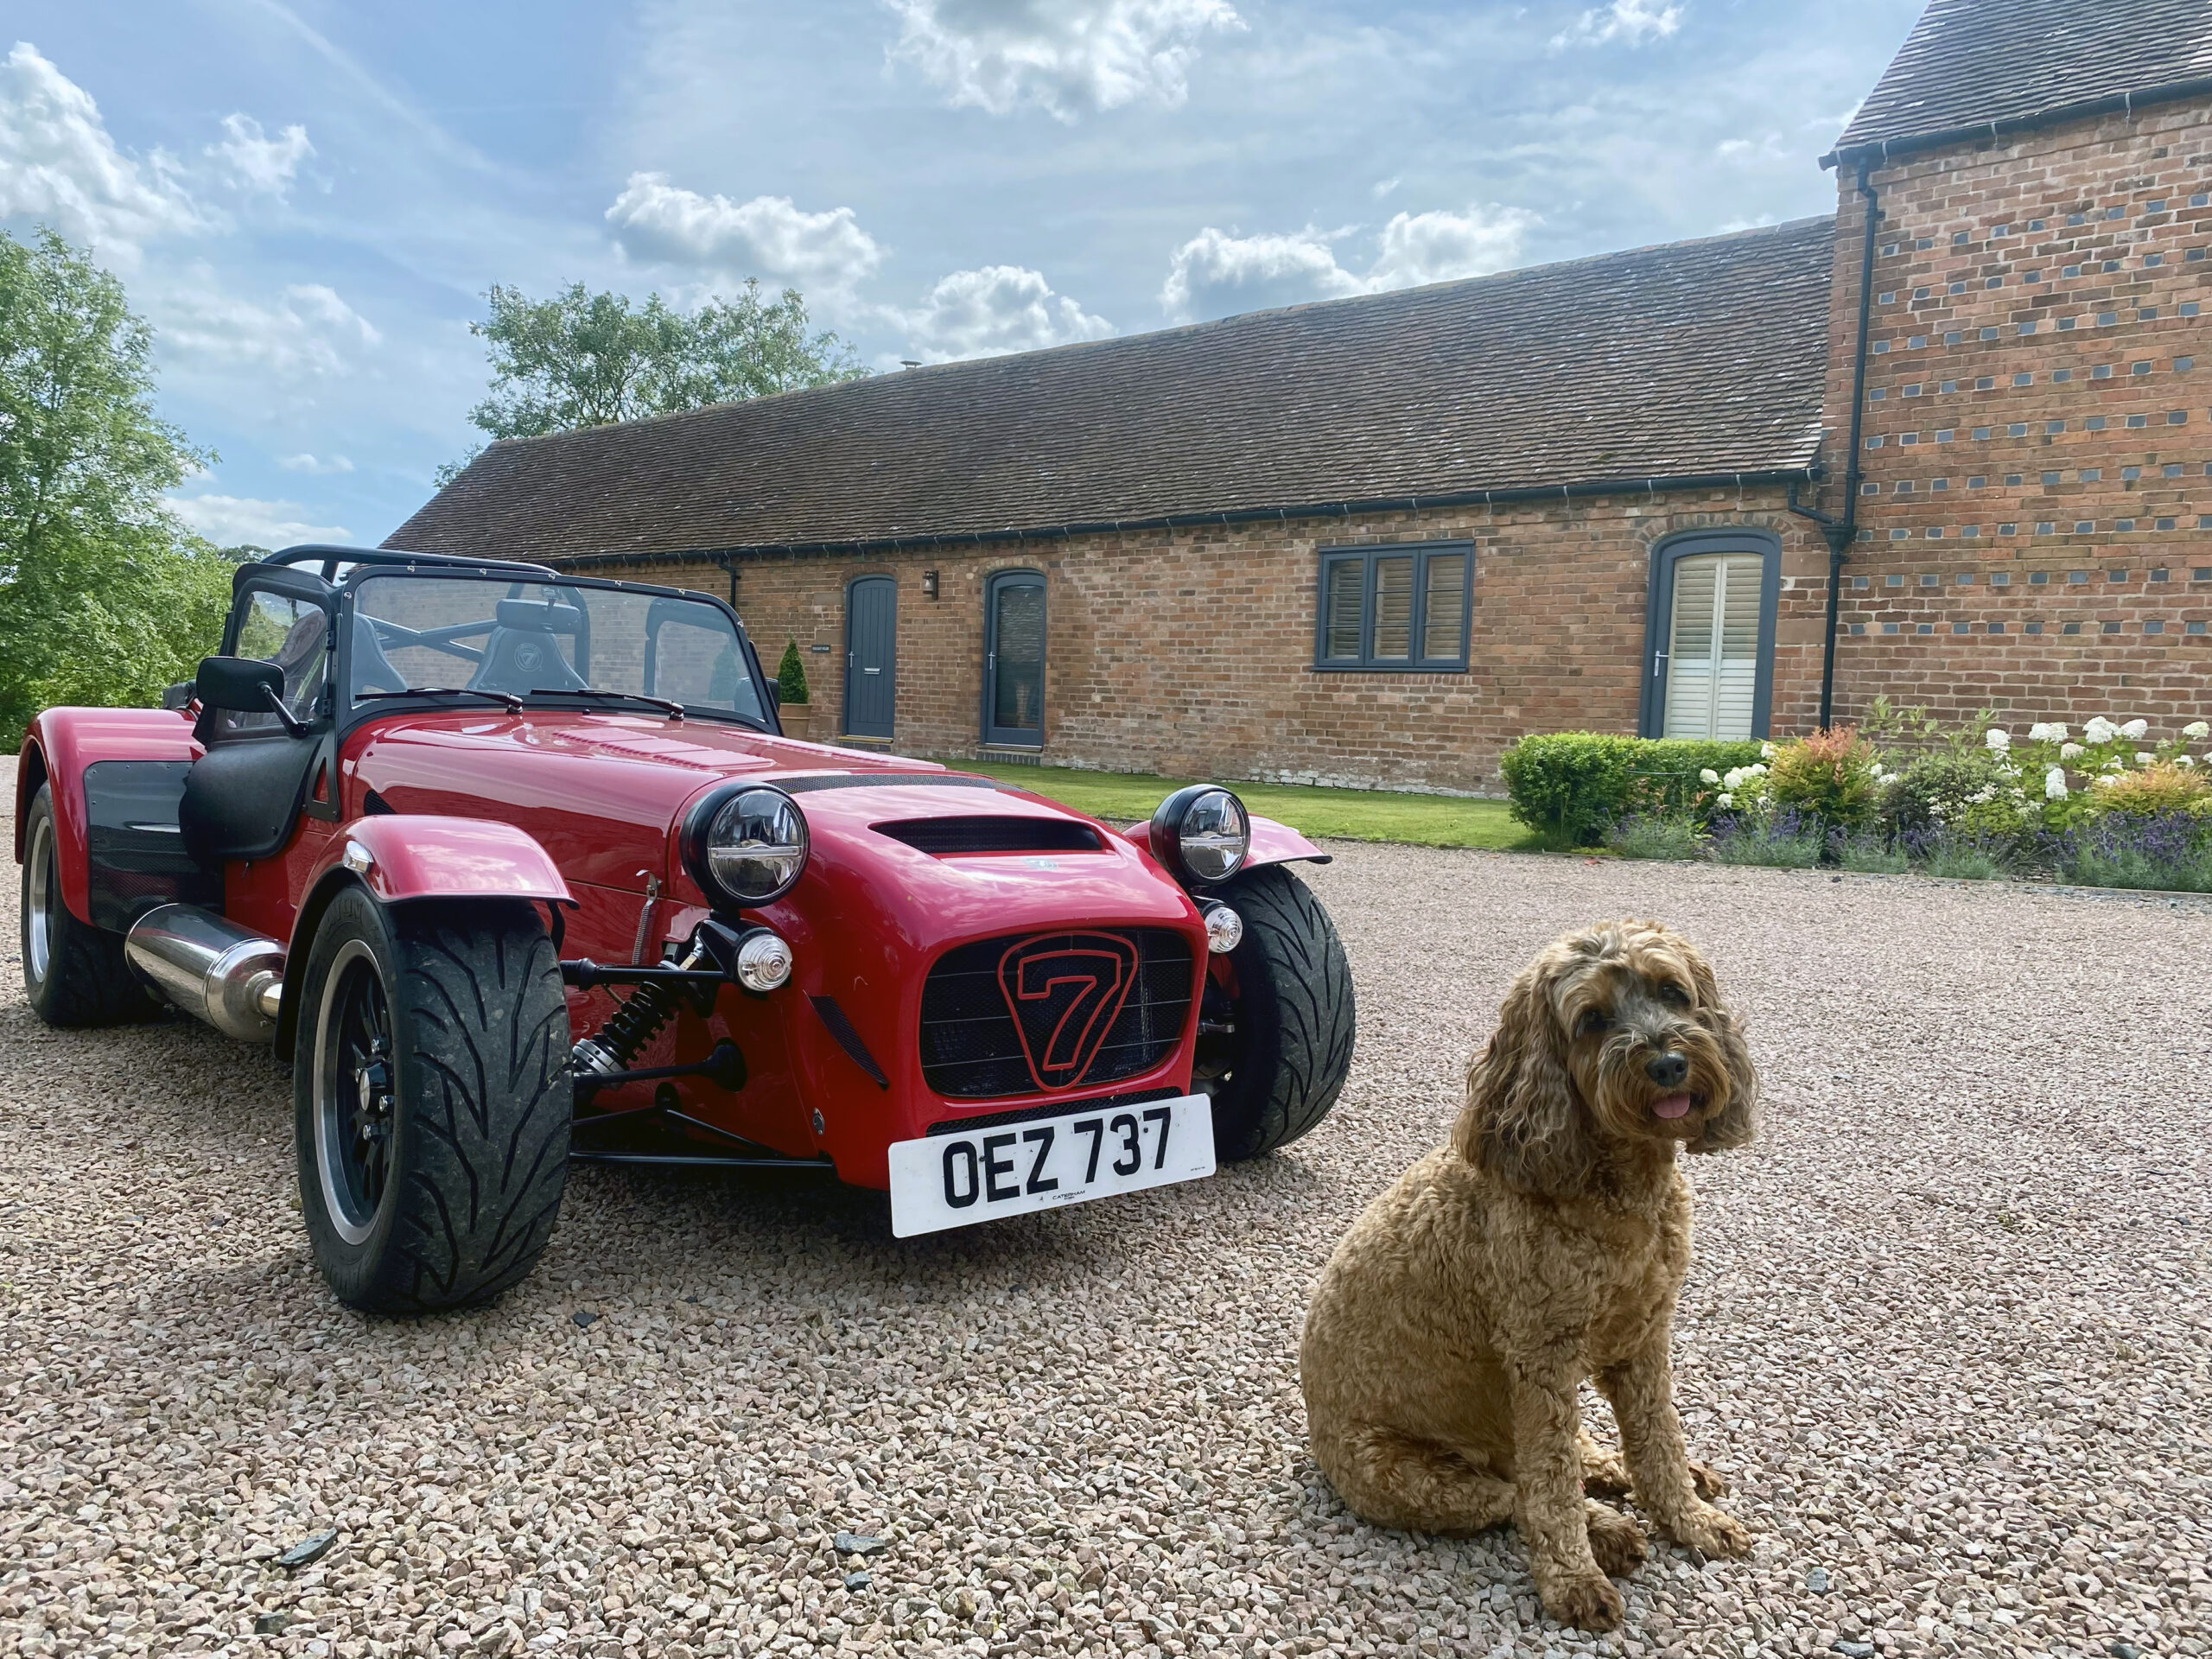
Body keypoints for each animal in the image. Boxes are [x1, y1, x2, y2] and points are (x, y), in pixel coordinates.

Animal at [1292, 925, 1760, 1637]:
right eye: (1591, 1019)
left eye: (1672, 992)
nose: (1667, 1063)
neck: (1614, 1185)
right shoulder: (1540, 1357)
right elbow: (1550, 1490)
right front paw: (1574, 1579)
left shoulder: (1643, 1338)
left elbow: (1659, 1442)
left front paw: (1691, 1520)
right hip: (1405, 1475)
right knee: (1513, 1492)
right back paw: (1606, 1530)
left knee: (1560, 1461)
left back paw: (1612, 1471)